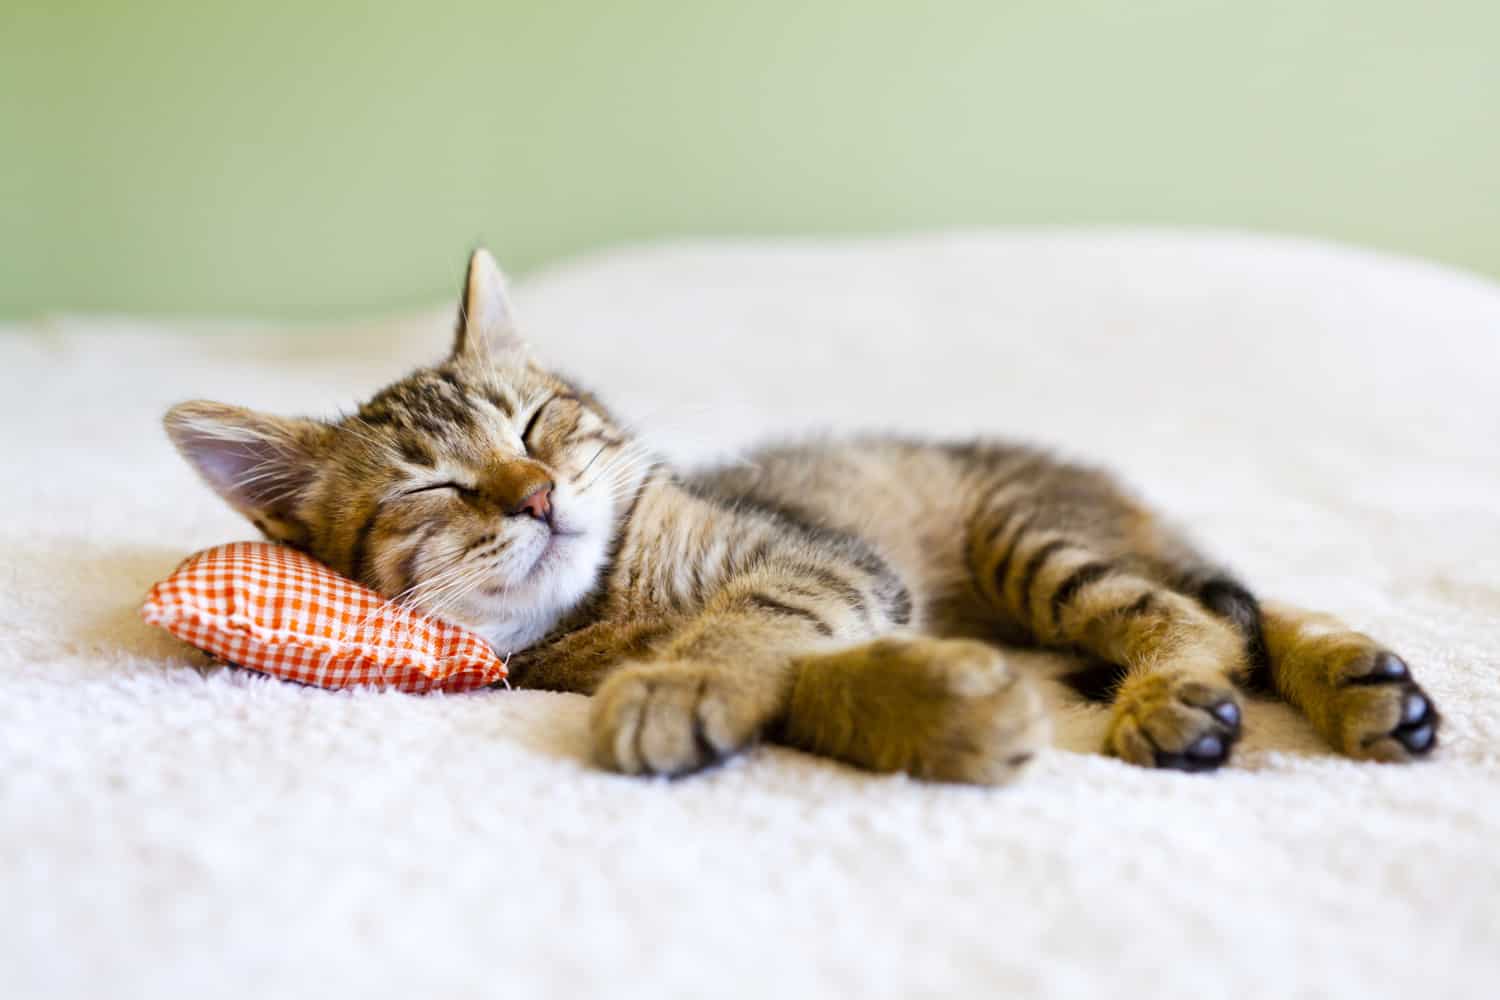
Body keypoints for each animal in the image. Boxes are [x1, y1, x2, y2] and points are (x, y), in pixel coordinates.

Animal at [164, 248, 1440, 779]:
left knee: (1209, 613)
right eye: (429, 485)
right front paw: (940, 712)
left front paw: (682, 681)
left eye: (538, 422)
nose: (535, 495)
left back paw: (1188, 695)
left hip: (1029, 539)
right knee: (1231, 607)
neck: (614, 598)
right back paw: (1366, 687)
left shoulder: (822, 556)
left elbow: (753, 621)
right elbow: (810, 681)